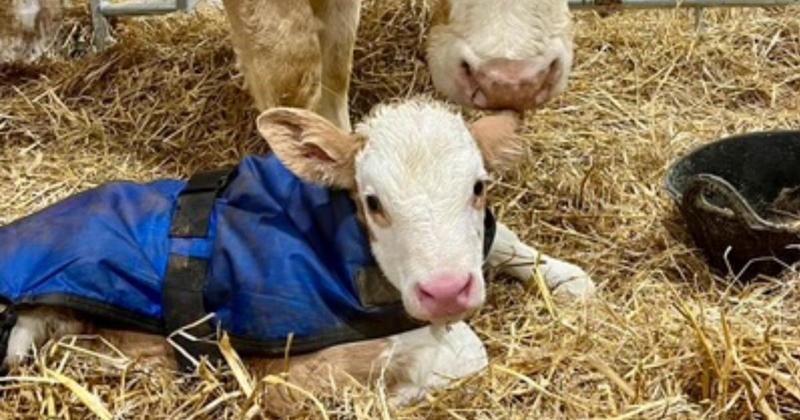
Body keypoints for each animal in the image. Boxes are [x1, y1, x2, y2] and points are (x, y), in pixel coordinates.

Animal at [0, 99, 592, 406]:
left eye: (478, 187)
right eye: (372, 201)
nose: (446, 290)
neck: (339, 237)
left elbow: (505, 239)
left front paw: (567, 277)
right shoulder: (294, 363)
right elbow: (468, 350)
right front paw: (398, 392)